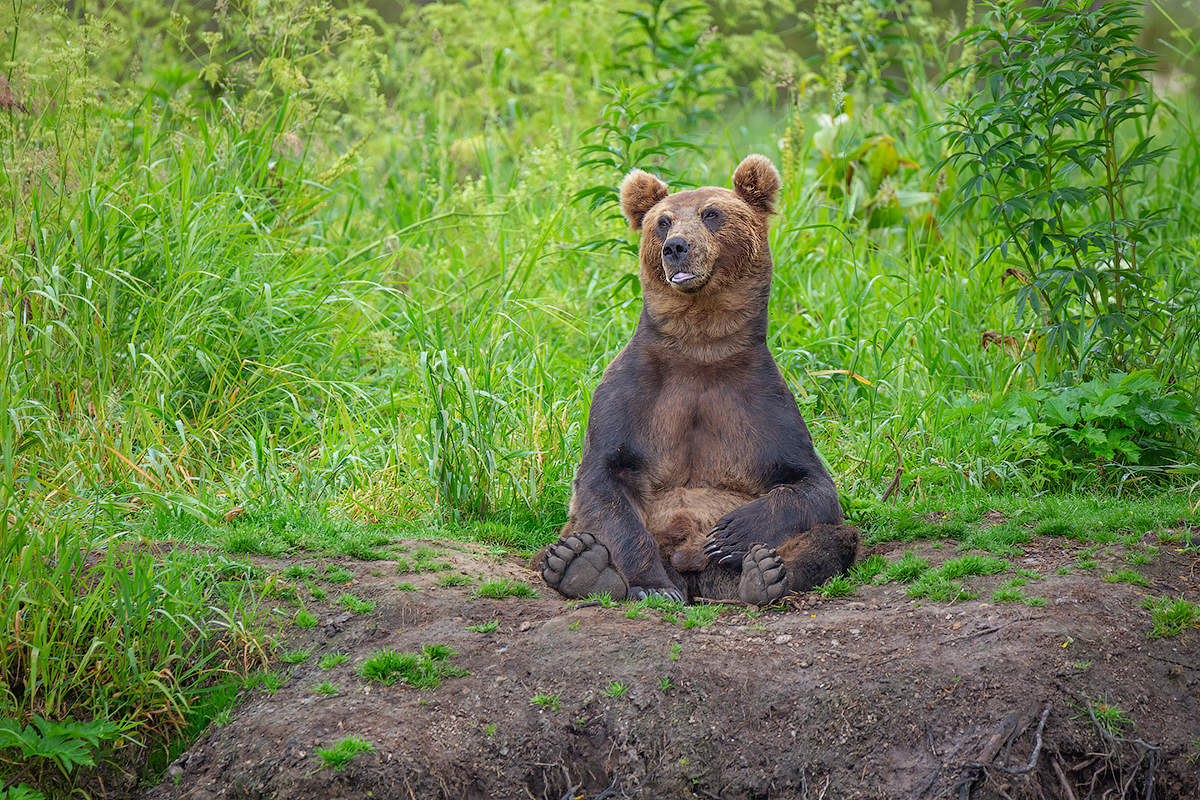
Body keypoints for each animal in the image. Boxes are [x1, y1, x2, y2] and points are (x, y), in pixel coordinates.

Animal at [540, 153, 859, 604]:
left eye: (712, 214)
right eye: (663, 221)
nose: (676, 247)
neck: (700, 349)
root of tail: (690, 569)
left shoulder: (758, 398)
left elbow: (810, 484)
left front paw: (729, 534)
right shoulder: (630, 392)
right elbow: (603, 476)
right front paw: (652, 587)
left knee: (834, 537)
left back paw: (763, 574)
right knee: (573, 536)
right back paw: (582, 566)